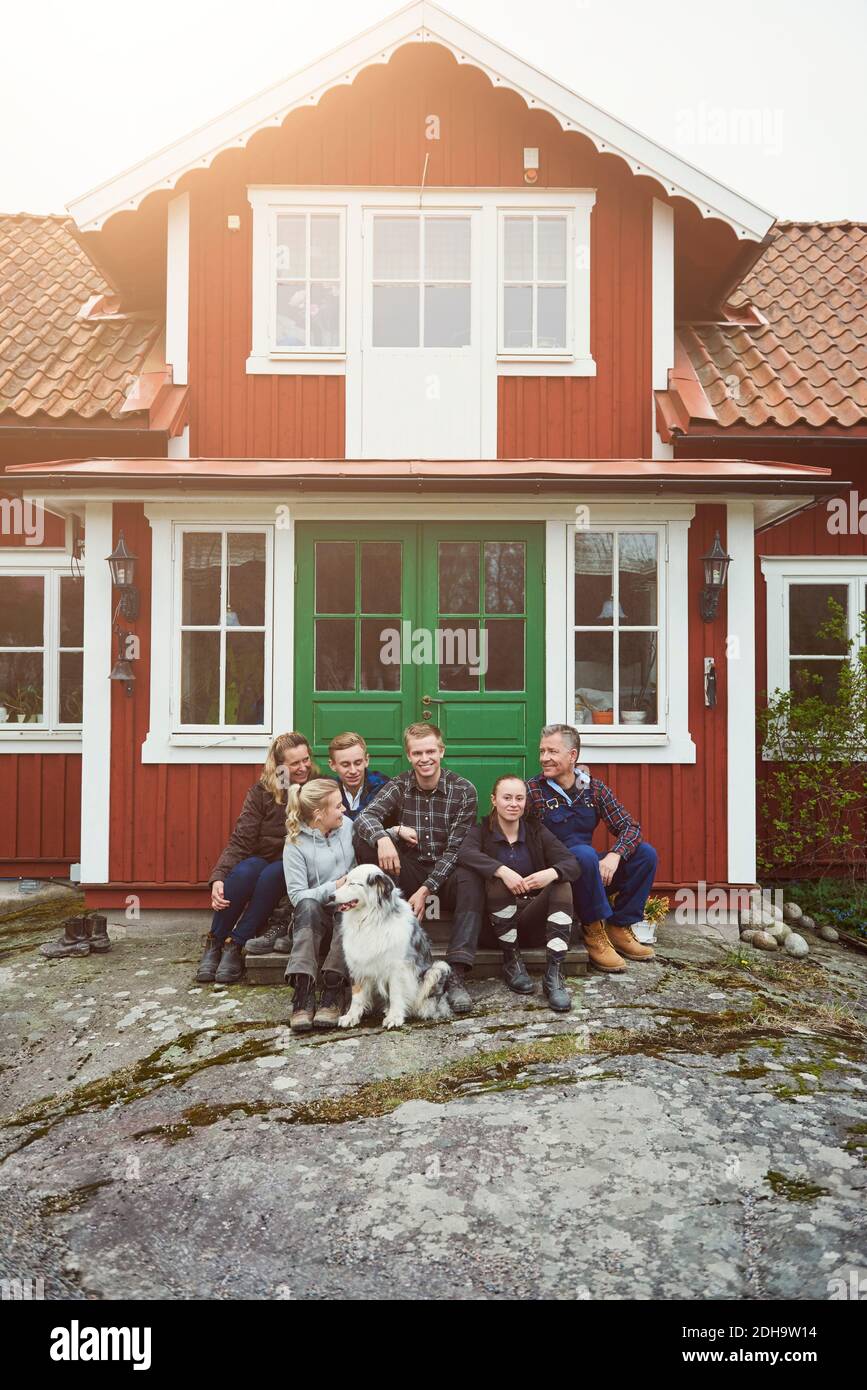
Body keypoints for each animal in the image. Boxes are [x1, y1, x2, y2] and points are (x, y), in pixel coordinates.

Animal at [333, 861, 452, 1028]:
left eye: (353, 883)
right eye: (344, 881)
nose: (330, 895)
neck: (369, 919)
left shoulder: (398, 967)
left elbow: (396, 993)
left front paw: (394, 1017)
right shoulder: (357, 963)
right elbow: (357, 994)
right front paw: (351, 1016)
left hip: (438, 968)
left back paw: (423, 1009)